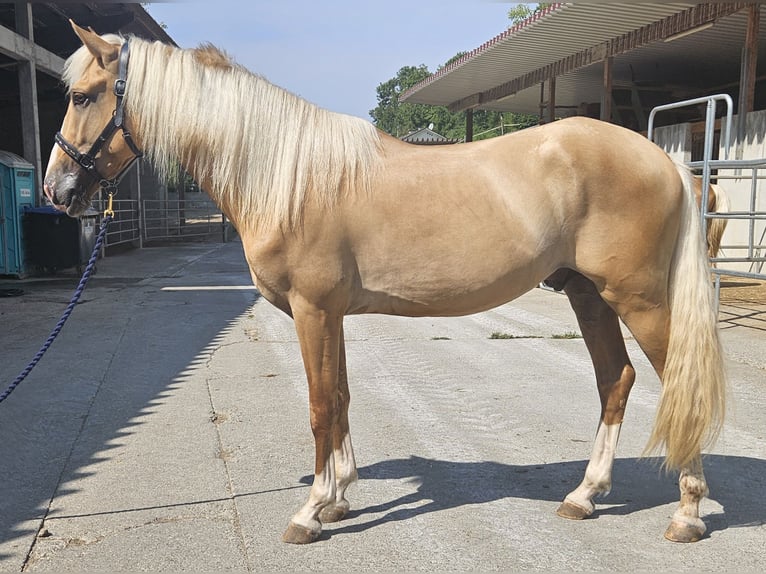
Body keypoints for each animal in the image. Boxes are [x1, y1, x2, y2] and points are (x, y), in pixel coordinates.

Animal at [45, 23, 728, 544]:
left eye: (82, 96)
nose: (57, 191)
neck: (291, 177)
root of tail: (664, 158)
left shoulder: (313, 310)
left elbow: (321, 406)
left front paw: (309, 513)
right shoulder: (330, 314)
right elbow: (342, 398)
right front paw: (338, 496)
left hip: (639, 300)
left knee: (677, 384)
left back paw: (688, 514)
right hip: (588, 294)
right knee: (616, 380)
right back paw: (584, 495)